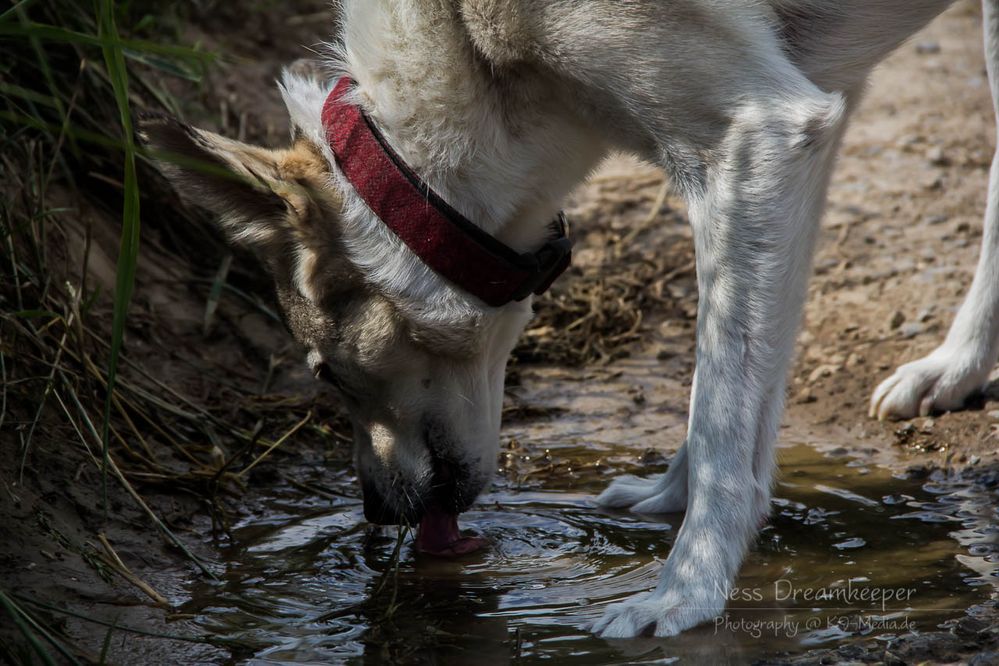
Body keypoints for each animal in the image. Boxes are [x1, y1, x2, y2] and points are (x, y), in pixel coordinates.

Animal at [141, 0, 999, 636]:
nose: (376, 514)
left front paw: (683, 593)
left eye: (325, 374)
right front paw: (670, 498)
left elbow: (722, 412)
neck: (474, 50)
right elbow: (732, 397)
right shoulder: (811, 118)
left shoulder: (759, 135)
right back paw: (954, 370)